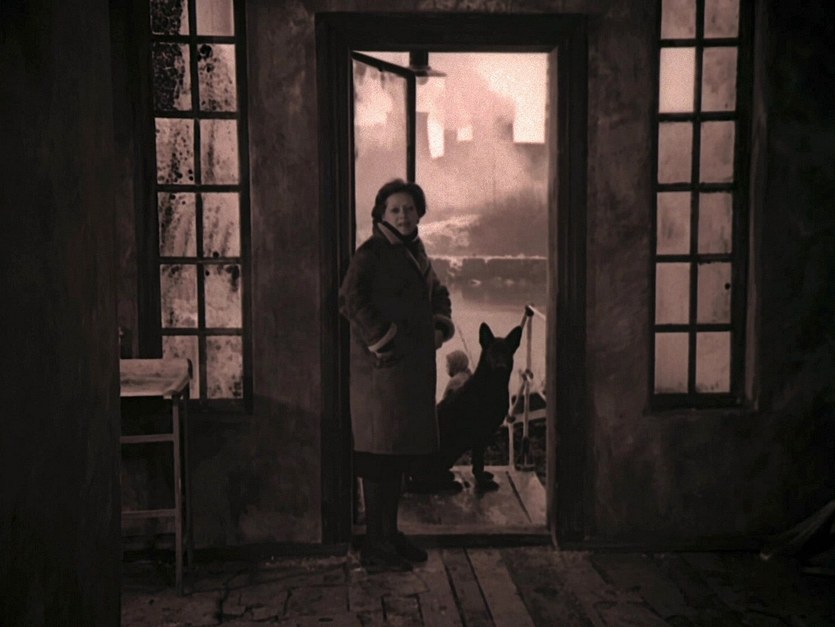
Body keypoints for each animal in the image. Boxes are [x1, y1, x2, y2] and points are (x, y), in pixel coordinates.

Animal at [408, 322, 522, 493]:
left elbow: (478, 463)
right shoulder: (480, 436)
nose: (501, 367)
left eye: (507, 353)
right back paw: (448, 484)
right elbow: (478, 464)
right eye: (491, 353)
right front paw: (483, 483)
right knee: (420, 482)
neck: (491, 386)